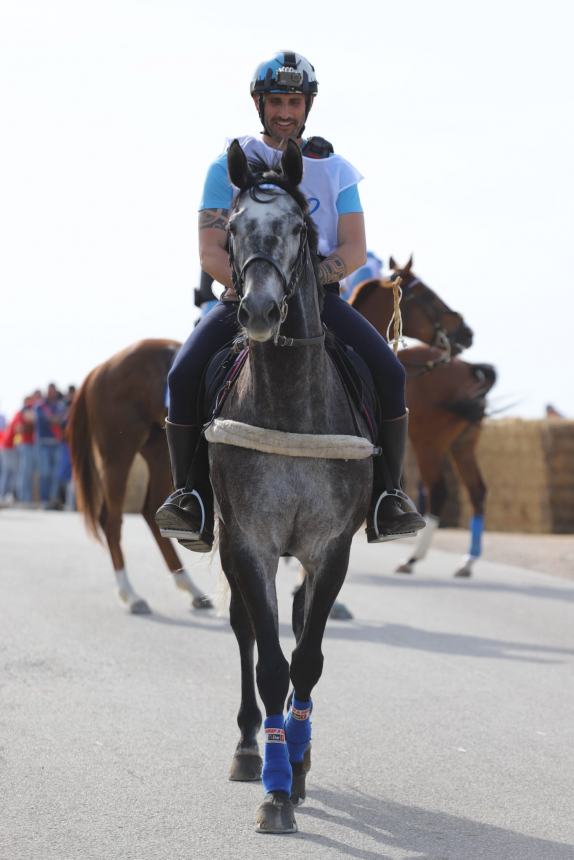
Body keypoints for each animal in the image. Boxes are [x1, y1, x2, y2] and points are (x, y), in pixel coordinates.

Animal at [67, 340, 212, 616]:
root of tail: (99, 370)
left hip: (160, 451)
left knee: (151, 511)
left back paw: (190, 588)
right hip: (118, 455)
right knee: (112, 523)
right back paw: (131, 594)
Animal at [354, 256, 498, 576]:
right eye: (428, 296)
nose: (466, 332)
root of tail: (471, 370)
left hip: (429, 444)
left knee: (439, 490)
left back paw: (412, 559)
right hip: (462, 444)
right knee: (478, 491)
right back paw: (467, 561)